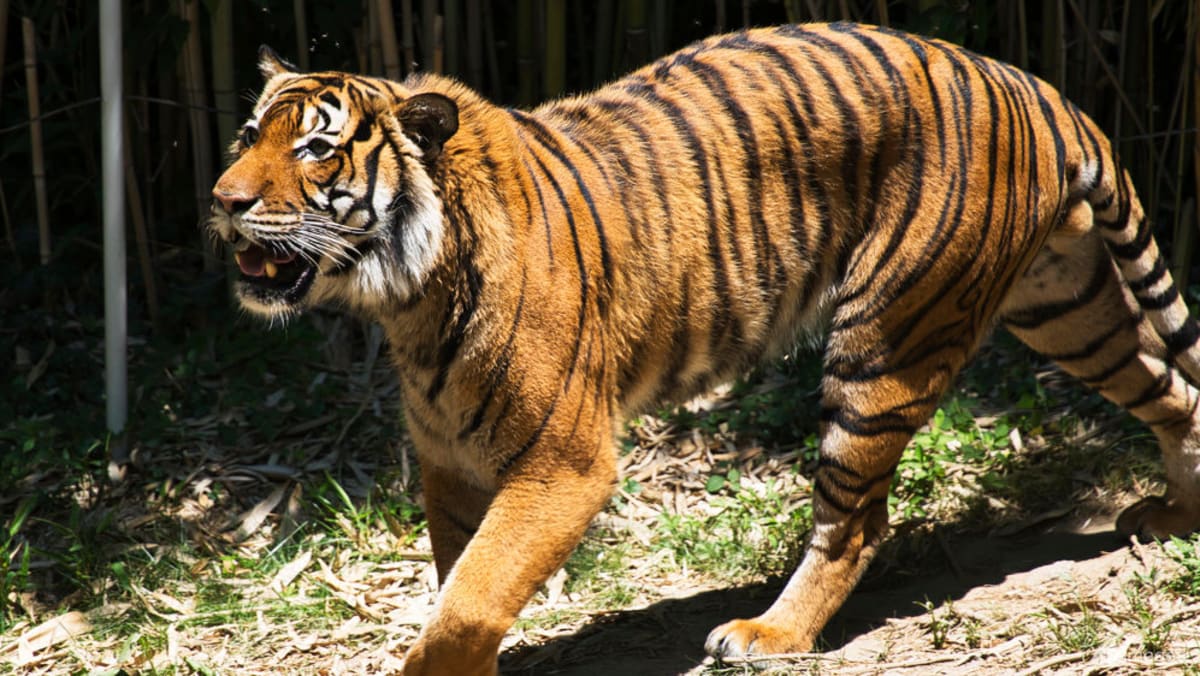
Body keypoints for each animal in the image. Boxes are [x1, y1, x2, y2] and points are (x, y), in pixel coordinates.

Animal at [208, 22, 1200, 675]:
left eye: (317, 149)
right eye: (247, 136)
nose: (222, 200)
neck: (409, 300)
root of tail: (1031, 84)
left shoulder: (564, 463)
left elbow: (473, 596)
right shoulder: (450, 466)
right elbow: (461, 589)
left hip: (887, 339)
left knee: (854, 519)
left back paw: (771, 635)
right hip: (1064, 302)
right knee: (1171, 390)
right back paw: (1179, 517)